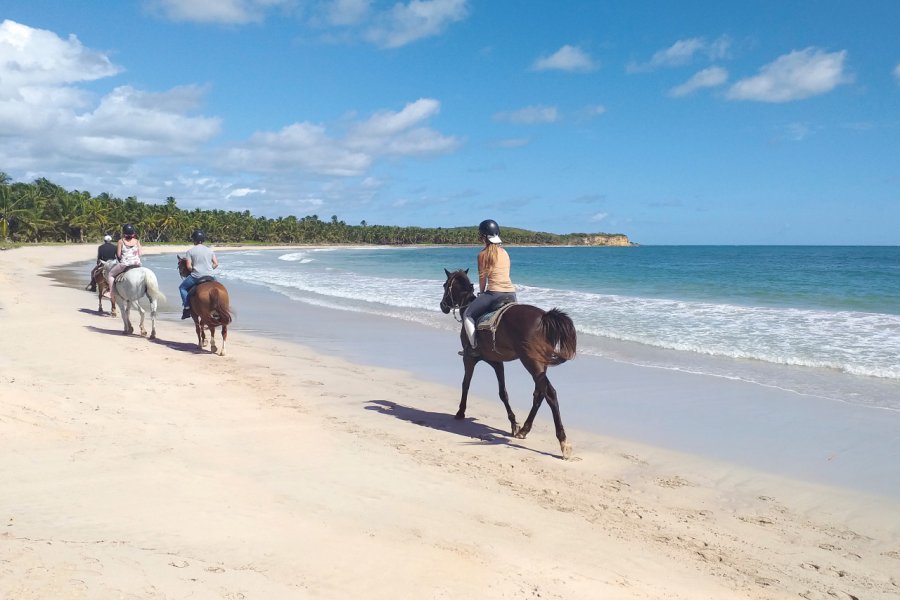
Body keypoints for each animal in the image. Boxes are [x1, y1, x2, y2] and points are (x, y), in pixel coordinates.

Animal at [442, 268, 580, 460]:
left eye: (445, 285)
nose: (443, 306)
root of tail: (544, 316)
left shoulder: (469, 359)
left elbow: (466, 385)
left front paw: (460, 412)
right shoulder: (497, 362)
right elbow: (503, 393)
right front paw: (514, 423)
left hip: (531, 362)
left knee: (550, 394)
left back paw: (563, 442)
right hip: (540, 364)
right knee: (539, 394)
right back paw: (525, 430)